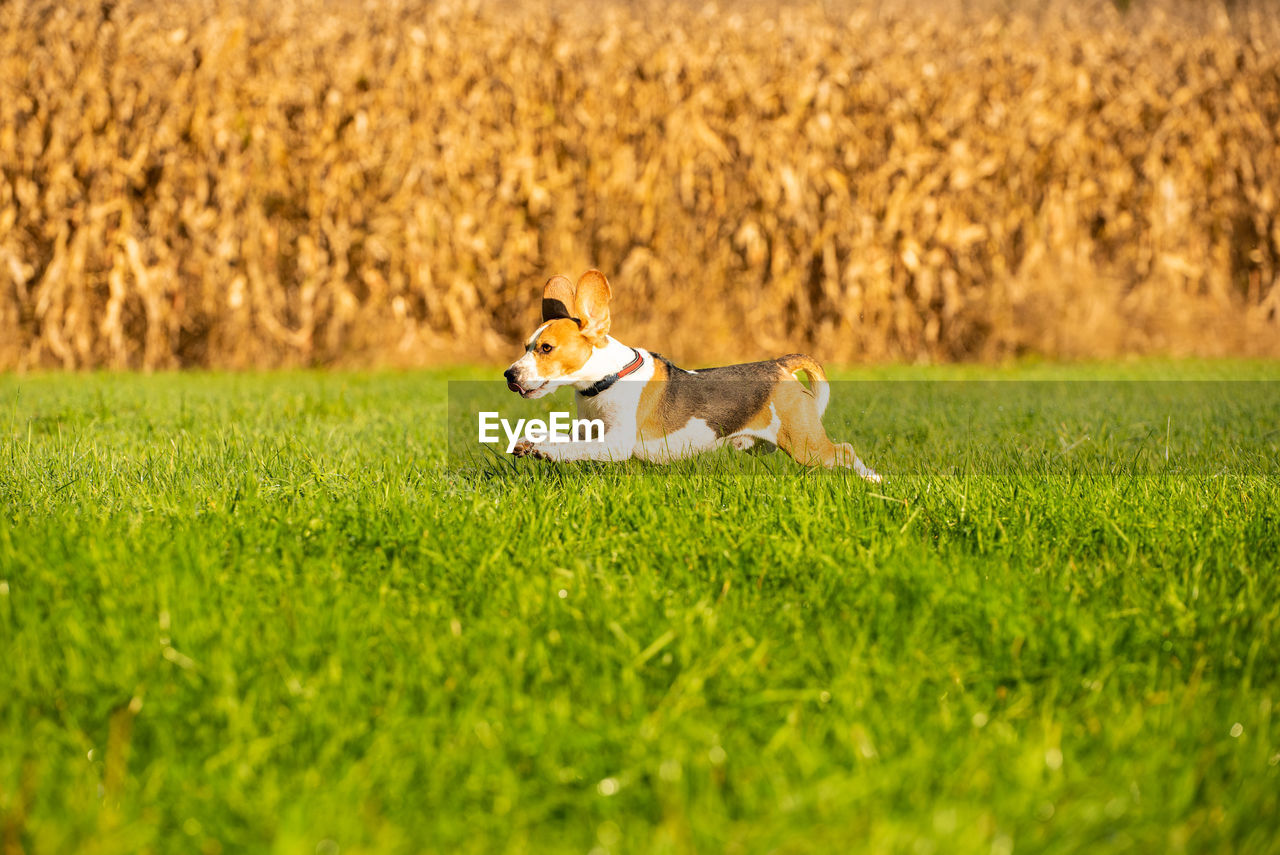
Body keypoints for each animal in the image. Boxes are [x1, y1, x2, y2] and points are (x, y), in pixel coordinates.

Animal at [499, 267, 880, 481]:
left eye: (546, 348)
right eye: (525, 345)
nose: (509, 374)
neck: (607, 381)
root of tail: (779, 365)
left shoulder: (615, 444)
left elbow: (573, 450)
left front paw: (548, 452)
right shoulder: (588, 430)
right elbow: (561, 437)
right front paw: (532, 442)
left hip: (805, 445)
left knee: (845, 452)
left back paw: (874, 481)